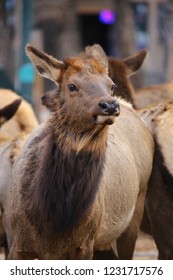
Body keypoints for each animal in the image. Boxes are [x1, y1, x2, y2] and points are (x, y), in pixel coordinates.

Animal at [5, 43, 154, 260]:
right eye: (72, 86)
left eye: (111, 85)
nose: (109, 105)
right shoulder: (16, 243)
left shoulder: (85, 244)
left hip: (135, 211)